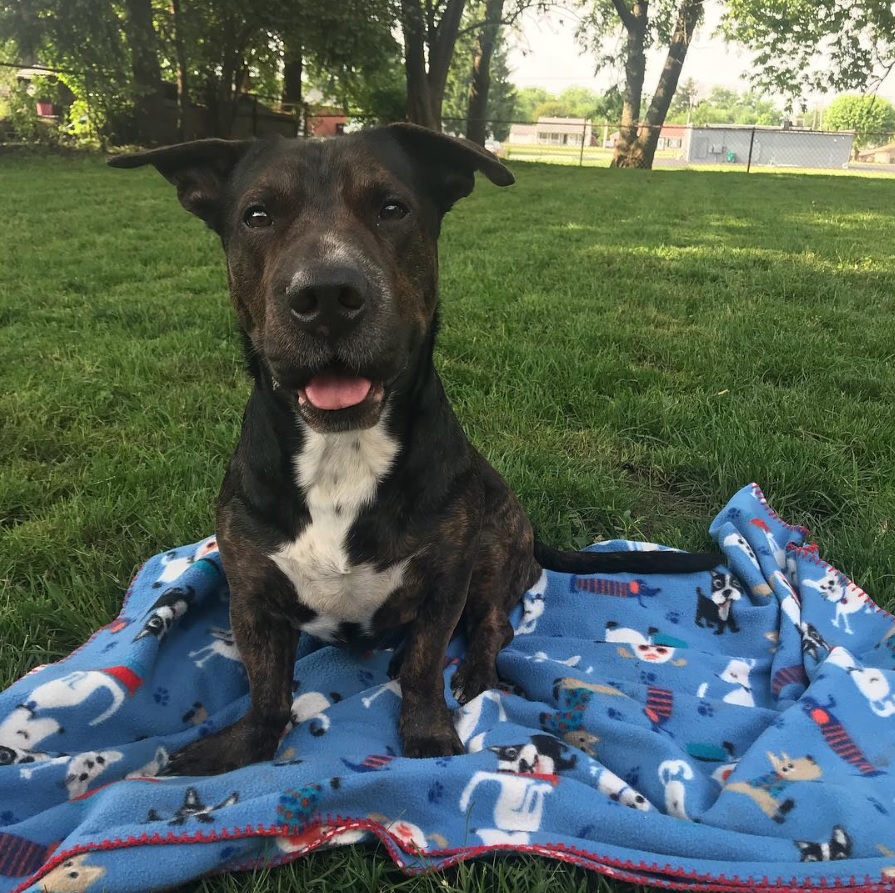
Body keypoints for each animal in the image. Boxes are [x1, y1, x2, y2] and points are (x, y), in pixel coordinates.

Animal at [108, 123, 716, 772]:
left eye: (392, 208)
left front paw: (427, 733)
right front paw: (238, 748)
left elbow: (427, 665)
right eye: (257, 215)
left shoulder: (447, 580)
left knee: (494, 627)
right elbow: (266, 688)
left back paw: (472, 673)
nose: (327, 295)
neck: (342, 452)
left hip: (493, 548)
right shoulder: (250, 595)